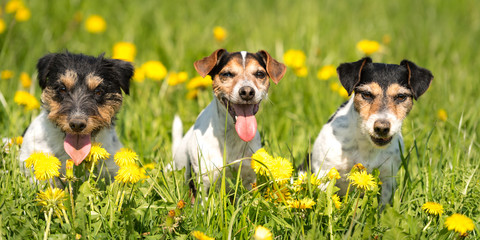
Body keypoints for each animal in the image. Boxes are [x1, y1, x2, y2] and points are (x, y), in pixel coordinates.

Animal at [172, 49, 284, 195]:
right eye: (227, 74)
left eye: (260, 74)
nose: (247, 91)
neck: (232, 136)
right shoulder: (204, 182)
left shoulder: (249, 180)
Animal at [314, 57, 434, 203]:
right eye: (366, 94)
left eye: (401, 96)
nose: (381, 128)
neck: (366, 146)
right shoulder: (325, 172)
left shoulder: (387, 179)